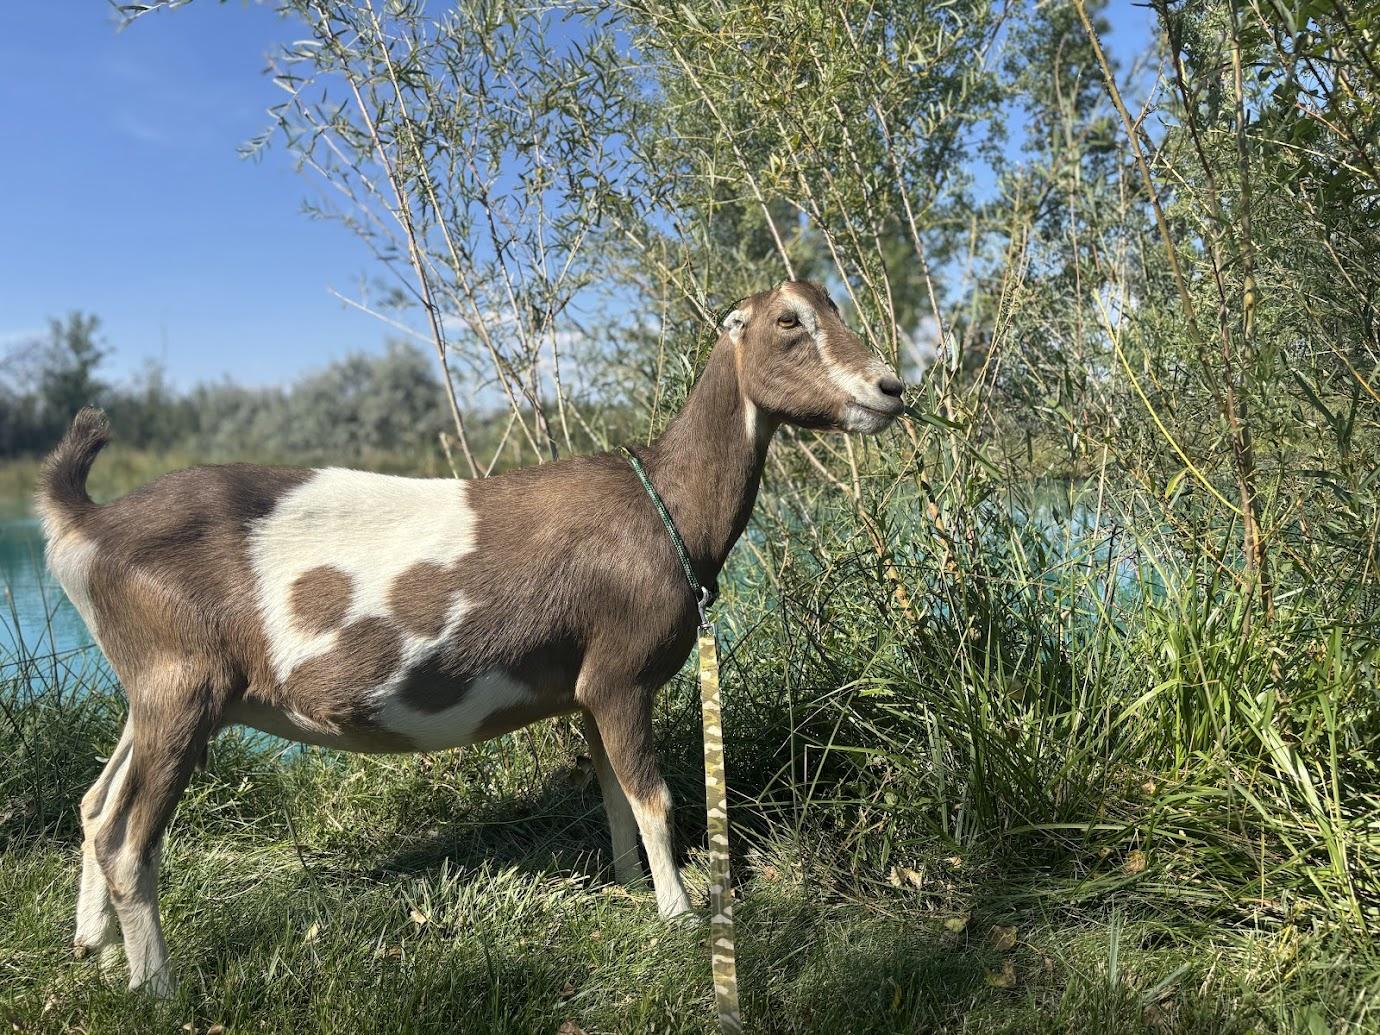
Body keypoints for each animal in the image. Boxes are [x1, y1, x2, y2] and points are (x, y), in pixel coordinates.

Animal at [39, 280, 905, 994]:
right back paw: (158, 988)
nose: (891, 386)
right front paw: (682, 916)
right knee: (127, 839)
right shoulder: (620, 675)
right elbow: (654, 797)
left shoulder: (586, 690)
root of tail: (86, 521)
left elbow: (613, 794)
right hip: (180, 685)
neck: (665, 506)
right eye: (790, 322)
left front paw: (628, 888)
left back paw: (95, 949)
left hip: (150, 690)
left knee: (93, 803)